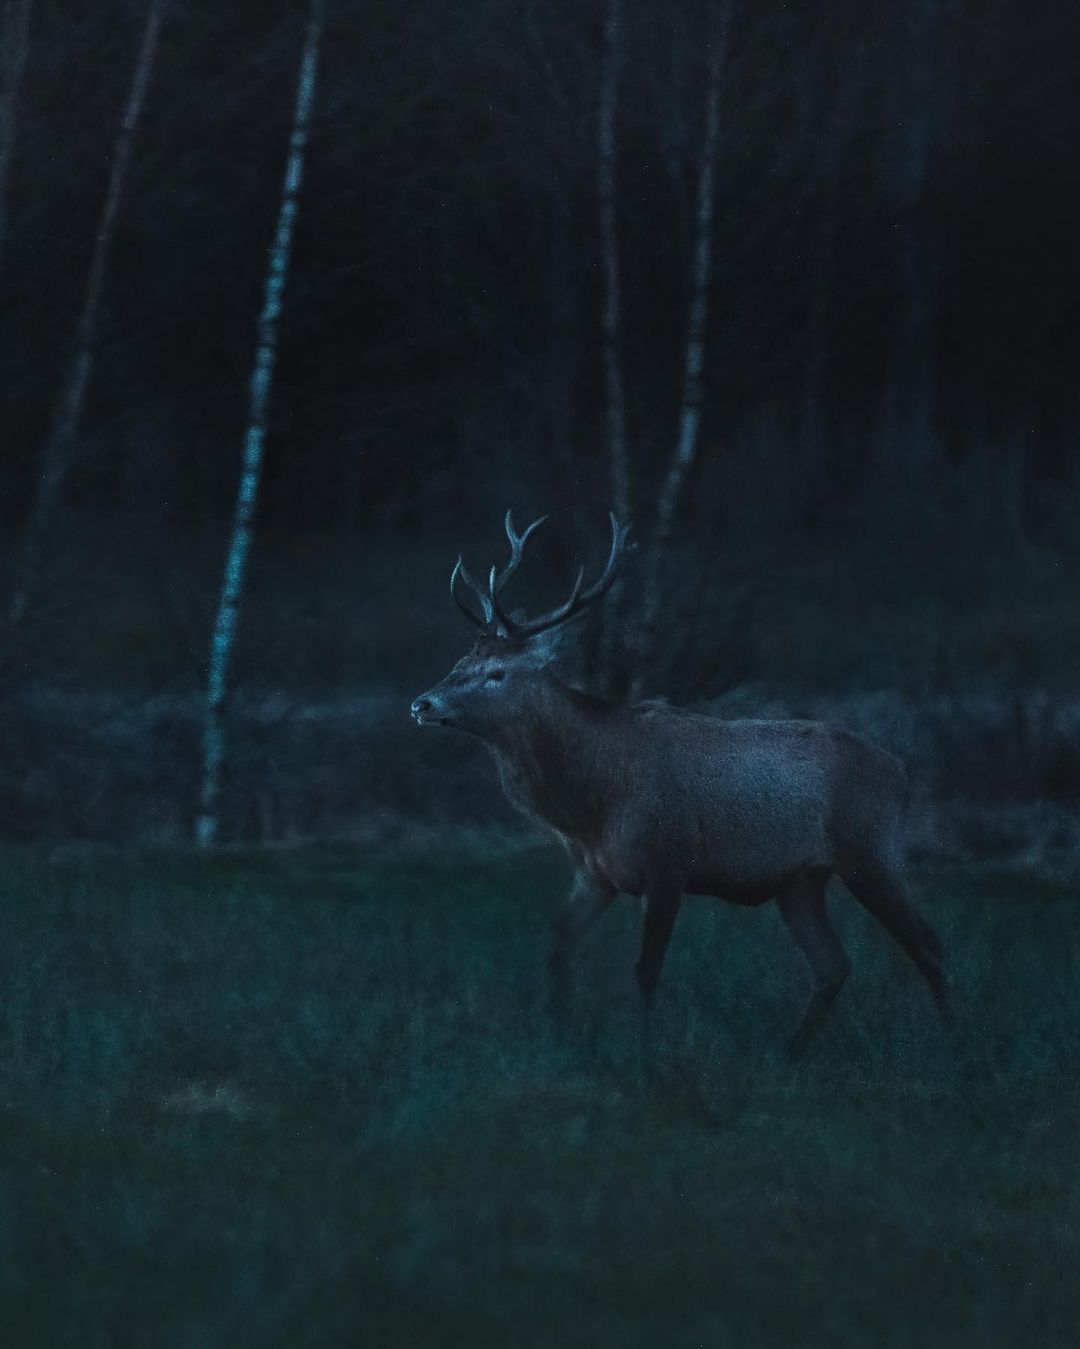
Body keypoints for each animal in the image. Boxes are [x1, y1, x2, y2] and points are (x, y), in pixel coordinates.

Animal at [409, 509, 949, 1046]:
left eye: (497, 673)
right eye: (459, 662)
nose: (422, 703)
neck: (591, 802)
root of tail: (901, 771)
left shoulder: (667, 860)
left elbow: (647, 968)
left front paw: (646, 1050)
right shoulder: (596, 873)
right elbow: (557, 942)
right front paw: (558, 1028)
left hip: (870, 850)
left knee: (927, 942)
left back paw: (950, 1033)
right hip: (800, 881)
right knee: (834, 965)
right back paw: (793, 1049)